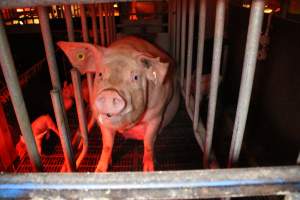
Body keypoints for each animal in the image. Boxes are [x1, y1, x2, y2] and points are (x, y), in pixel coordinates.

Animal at [58, 36, 180, 172]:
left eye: (135, 77)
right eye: (100, 74)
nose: (110, 93)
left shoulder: (157, 115)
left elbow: (148, 142)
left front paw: (149, 170)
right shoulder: (102, 121)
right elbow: (107, 145)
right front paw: (99, 170)